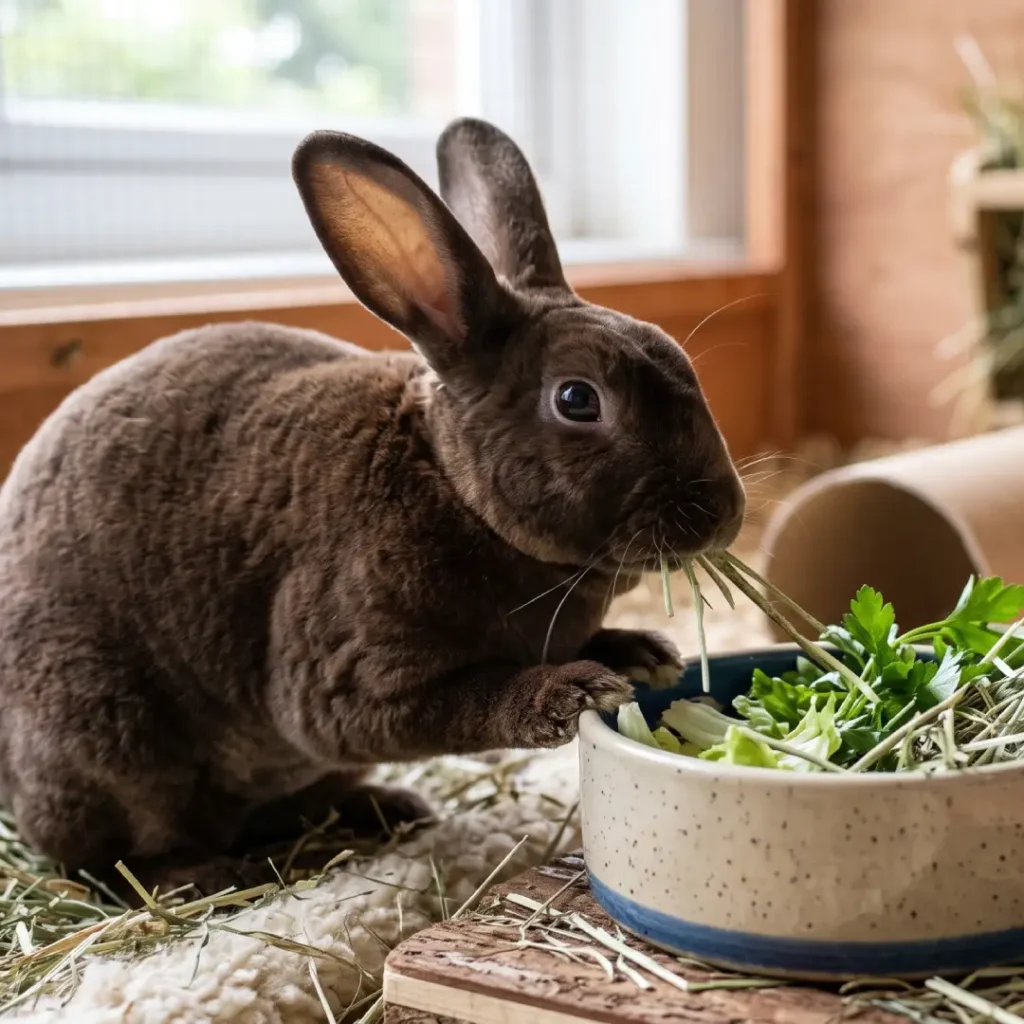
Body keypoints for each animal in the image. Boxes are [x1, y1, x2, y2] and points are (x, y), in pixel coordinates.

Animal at [0, 118, 745, 896]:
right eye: (577, 400)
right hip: (112, 742)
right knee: (105, 858)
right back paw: (200, 874)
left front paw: (645, 656)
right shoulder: (348, 676)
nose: (724, 512)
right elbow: (459, 701)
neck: (451, 483)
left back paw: (388, 809)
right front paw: (567, 692)